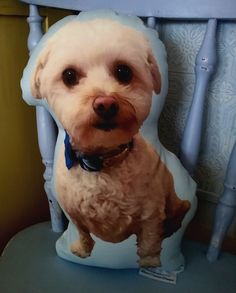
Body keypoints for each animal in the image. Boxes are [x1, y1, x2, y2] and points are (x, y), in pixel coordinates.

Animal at [30, 17, 190, 264]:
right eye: (69, 75)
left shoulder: (151, 216)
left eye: (123, 71)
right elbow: (83, 233)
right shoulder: (75, 214)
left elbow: (149, 245)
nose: (105, 104)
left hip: (177, 202)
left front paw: (150, 265)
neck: (101, 163)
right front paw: (83, 250)